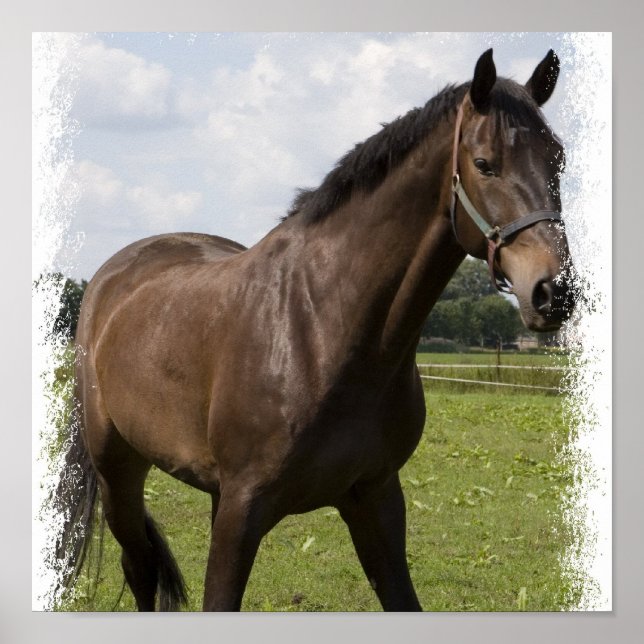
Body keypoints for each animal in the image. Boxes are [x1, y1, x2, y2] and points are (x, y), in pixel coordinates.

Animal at [54, 48, 577, 611]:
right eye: (483, 164)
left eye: (558, 160)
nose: (554, 291)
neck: (324, 328)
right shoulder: (243, 509)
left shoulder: (375, 498)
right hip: (119, 471)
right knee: (140, 567)